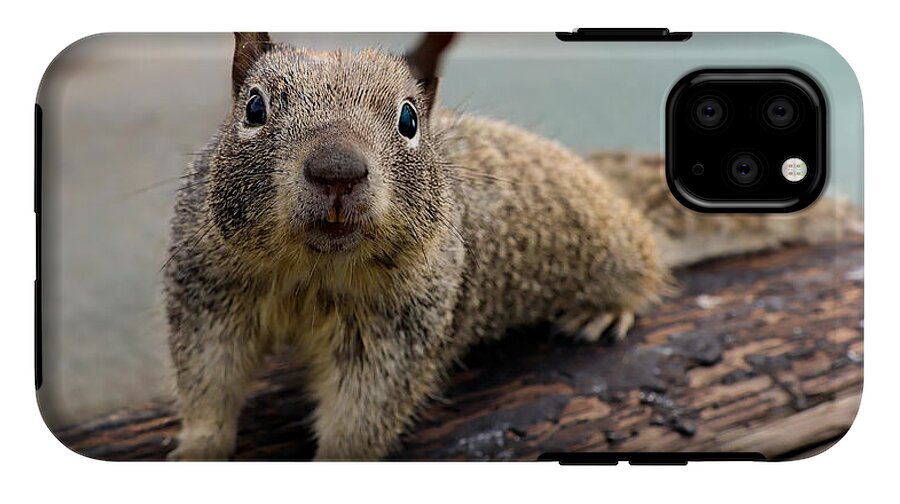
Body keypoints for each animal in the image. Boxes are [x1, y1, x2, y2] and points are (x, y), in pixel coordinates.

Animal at [165, 32, 857, 460]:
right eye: (254, 108)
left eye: (409, 120)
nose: (337, 170)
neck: (313, 271)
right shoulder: (209, 291)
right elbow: (208, 378)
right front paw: (197, 447)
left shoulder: (399, 329)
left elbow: (364, 411)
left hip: (613, 246)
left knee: (645, 265)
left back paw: (606, 307)